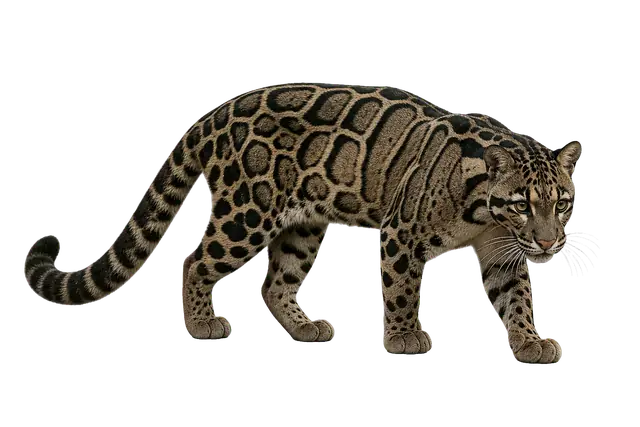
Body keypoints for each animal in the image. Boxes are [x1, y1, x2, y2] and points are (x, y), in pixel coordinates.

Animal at [23, 81, 581, 363]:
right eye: (523, 204)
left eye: (562, 203)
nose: (549, 244)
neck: (486, 211)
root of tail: (217, 113)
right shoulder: (402, 233)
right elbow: (402, 289)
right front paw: (405, 337)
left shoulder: (503, 251)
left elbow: (516, 296)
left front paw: (529, 341)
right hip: (248, 211)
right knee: (196, 259)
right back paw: (202, 322)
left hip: (303, 222)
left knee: (275, 282)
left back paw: (303, 326)